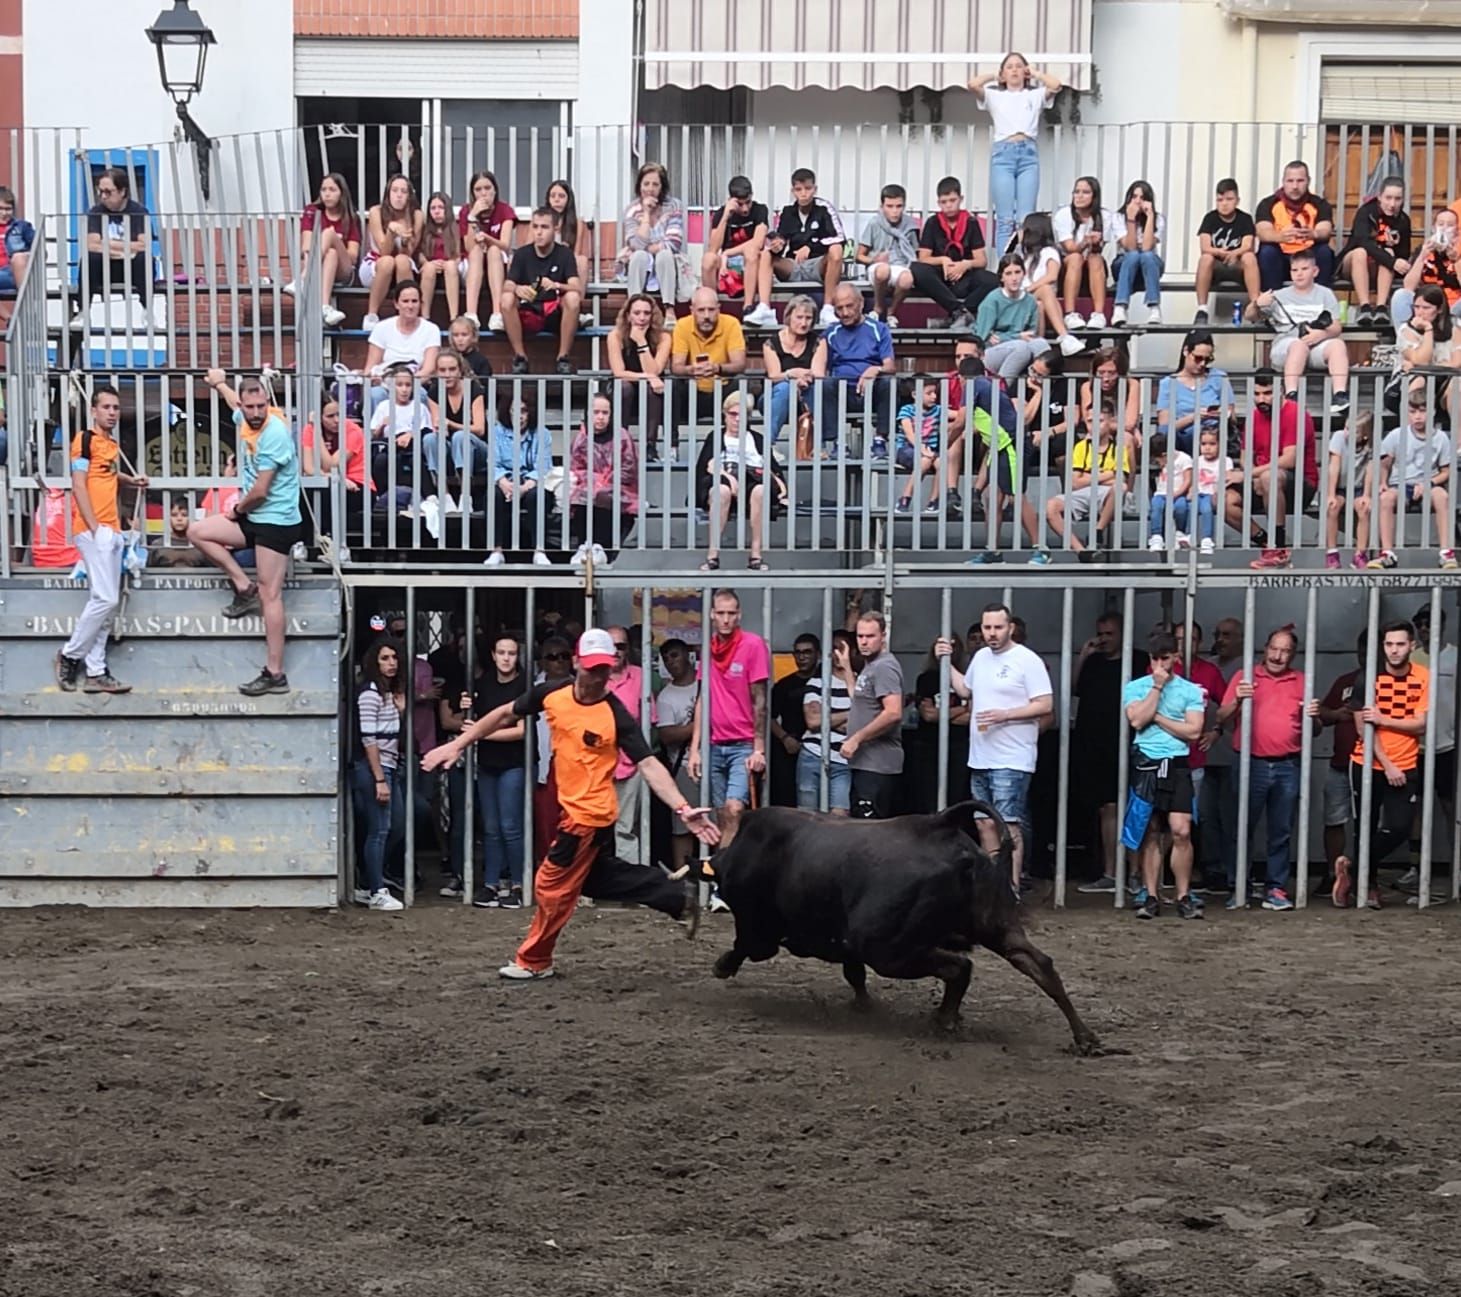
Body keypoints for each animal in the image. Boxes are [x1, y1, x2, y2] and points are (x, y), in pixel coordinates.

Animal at [707, 800, 1098, 1051]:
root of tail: (940, 825)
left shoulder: (758, 928)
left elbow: (745, 945)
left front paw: (722, 965)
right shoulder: (846, 945)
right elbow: (854, 973)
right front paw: (863, 1004)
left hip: (887, 949)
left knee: (960, 967)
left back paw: (944, 1020)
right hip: (997, 927)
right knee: (1038, 964)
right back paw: (1085, 1038)